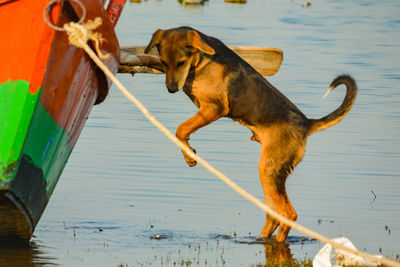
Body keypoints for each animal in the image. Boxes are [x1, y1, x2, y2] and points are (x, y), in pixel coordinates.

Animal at [145, 25, 358, 243]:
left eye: (180, 63)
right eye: (164, 62)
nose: (171, 89)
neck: (201, 59)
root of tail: (307, 124)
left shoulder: (214, 108)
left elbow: (181, 128)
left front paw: (189, 154)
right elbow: (183, 128)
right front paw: (189, 152)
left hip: (269, 170)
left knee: (289, 215)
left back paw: (278, 240)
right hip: (269, 174)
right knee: (274, 216)